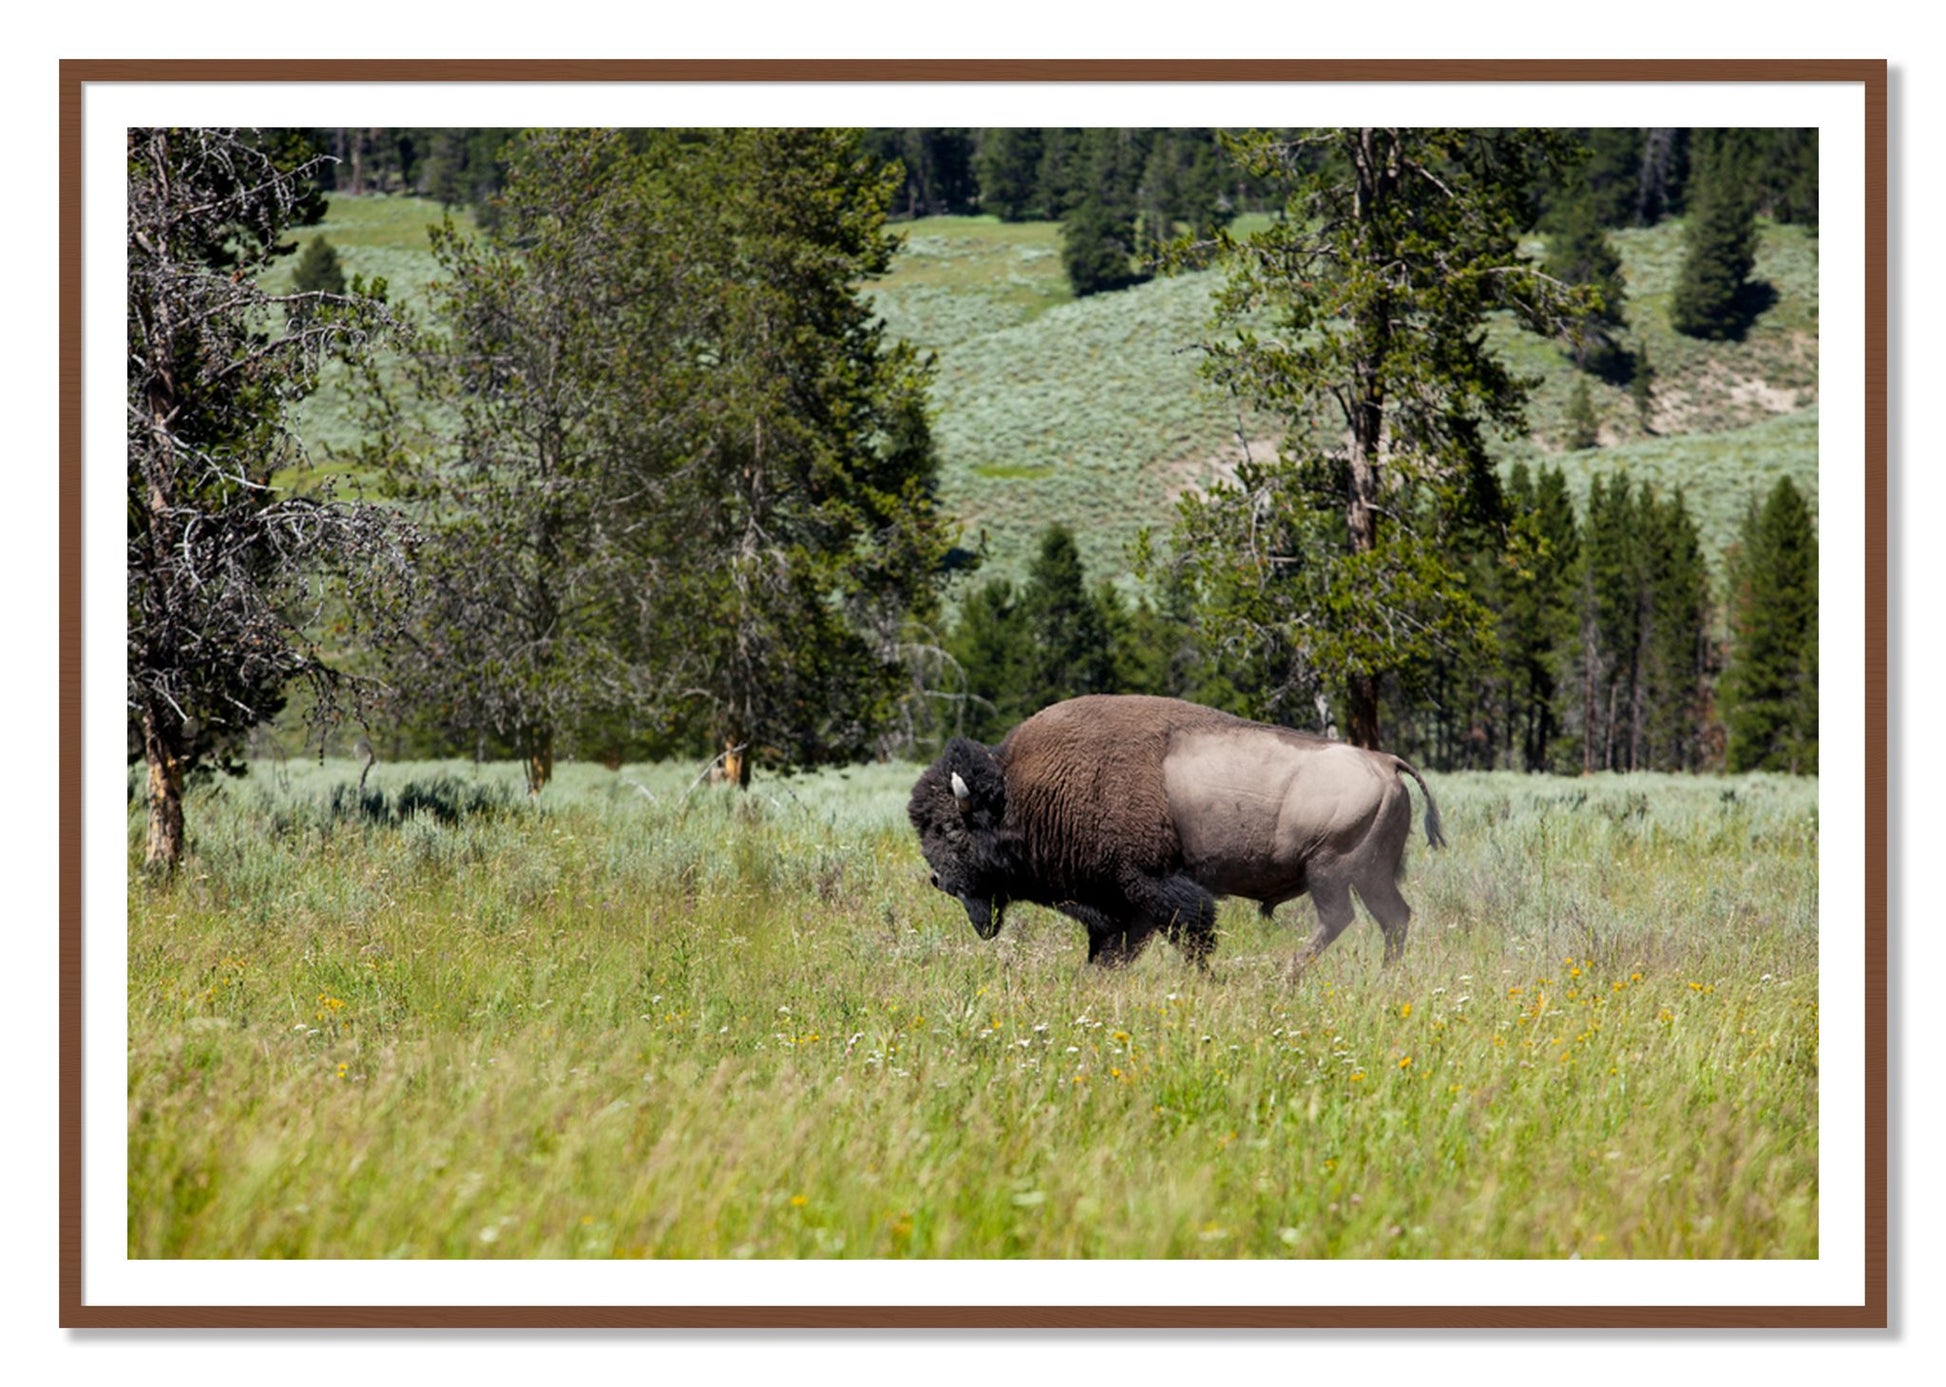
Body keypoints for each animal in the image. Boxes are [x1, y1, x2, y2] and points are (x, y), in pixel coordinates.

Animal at [908, 694, 1445, 970]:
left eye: (952, 830)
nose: (939, 880)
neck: (1023, 791)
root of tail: (1385, 762)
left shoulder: (1150, 885)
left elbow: (1190, 933)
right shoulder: (1121, 905)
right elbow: (1113, 949)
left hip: (1330, 871)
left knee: (1341, 920)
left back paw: (1286, 975)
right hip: (1370, 876)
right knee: (1393, 919)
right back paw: (1383, 977)